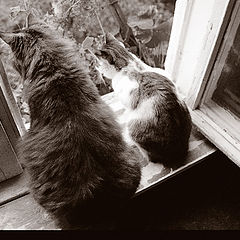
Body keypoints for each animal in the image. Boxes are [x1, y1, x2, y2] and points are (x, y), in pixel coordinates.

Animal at [94, 32, 192, 169]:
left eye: (98, 64)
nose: (96, 68)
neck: (129, 63)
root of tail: (176, 152)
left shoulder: (129, 97)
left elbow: (127, 107)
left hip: (133, 128)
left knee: (149, 157)